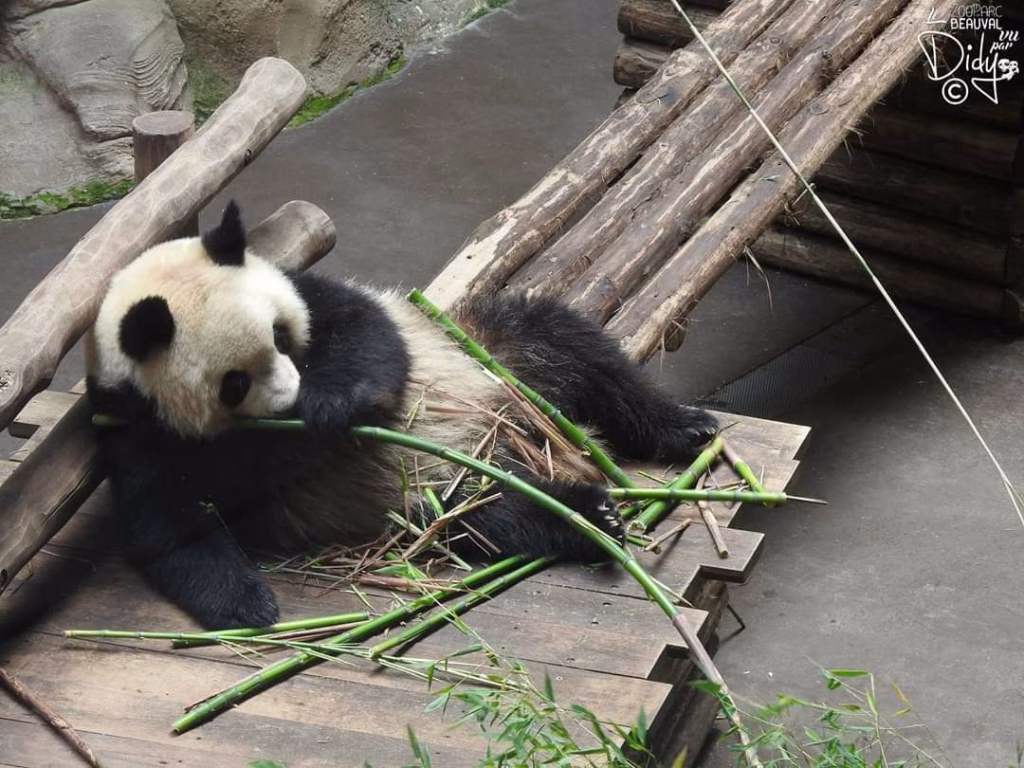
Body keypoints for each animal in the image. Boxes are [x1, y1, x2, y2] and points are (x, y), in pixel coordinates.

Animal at [86, 201, 718, 629]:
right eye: (233, 384)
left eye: (282, 337)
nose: (292, 399)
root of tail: (526, 443)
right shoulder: (138, 431)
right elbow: (168, 526)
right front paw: (248, 603)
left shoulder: (315, 293)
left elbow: (370, 339)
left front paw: (332, 406)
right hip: (436, 495)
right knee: (494, 515)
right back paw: (589, 516)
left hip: (492, 357)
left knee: (569, 346)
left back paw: (685, 429)